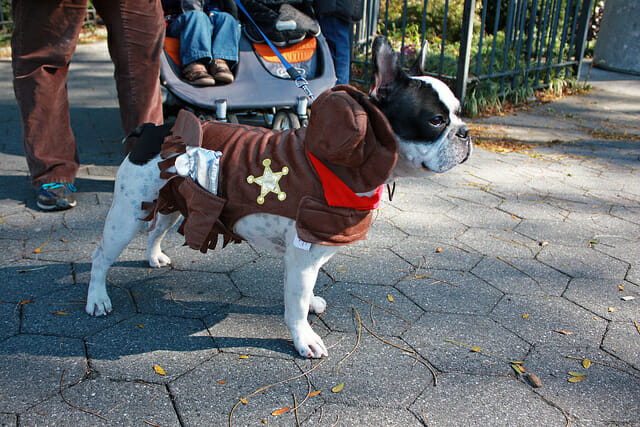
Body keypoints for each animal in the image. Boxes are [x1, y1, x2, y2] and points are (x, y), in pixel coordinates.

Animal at [85, 36, 470, 358]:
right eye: (436, 121)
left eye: (459, 112)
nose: (465, 132)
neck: (347, 162)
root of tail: (154, 128)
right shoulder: (303, 252)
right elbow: (295, 303)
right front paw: (304, 339)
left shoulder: (306, 254)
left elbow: (300, 291)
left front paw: (310, 304)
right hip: (127, 213)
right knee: (102, 255)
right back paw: (97, 299)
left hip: (174, 201)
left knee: (157, 229)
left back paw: (154, 258)